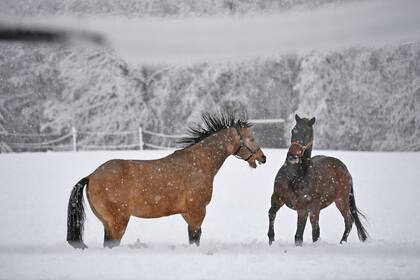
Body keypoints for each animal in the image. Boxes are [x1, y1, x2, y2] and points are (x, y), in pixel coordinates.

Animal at [67, 112, 268, 248]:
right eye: (251, 138)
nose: (263, 157)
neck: (198, 163)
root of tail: (91, 176)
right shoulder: (197, 210)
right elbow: (195, 237)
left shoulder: (187, 213)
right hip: (118, 222)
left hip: (108, 223)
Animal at [268, 115, 366, 246]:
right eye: (293, 130)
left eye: (307, 133)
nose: (292, 156)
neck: (293, 177)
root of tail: (345, 169)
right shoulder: (277, 197)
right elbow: (271, 213)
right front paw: (271, 239)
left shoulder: (302, 208)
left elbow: (298, 236)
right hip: (316, 209)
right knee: (316, 230)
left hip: (341, 201)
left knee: (348, 222)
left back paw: (342, 243)